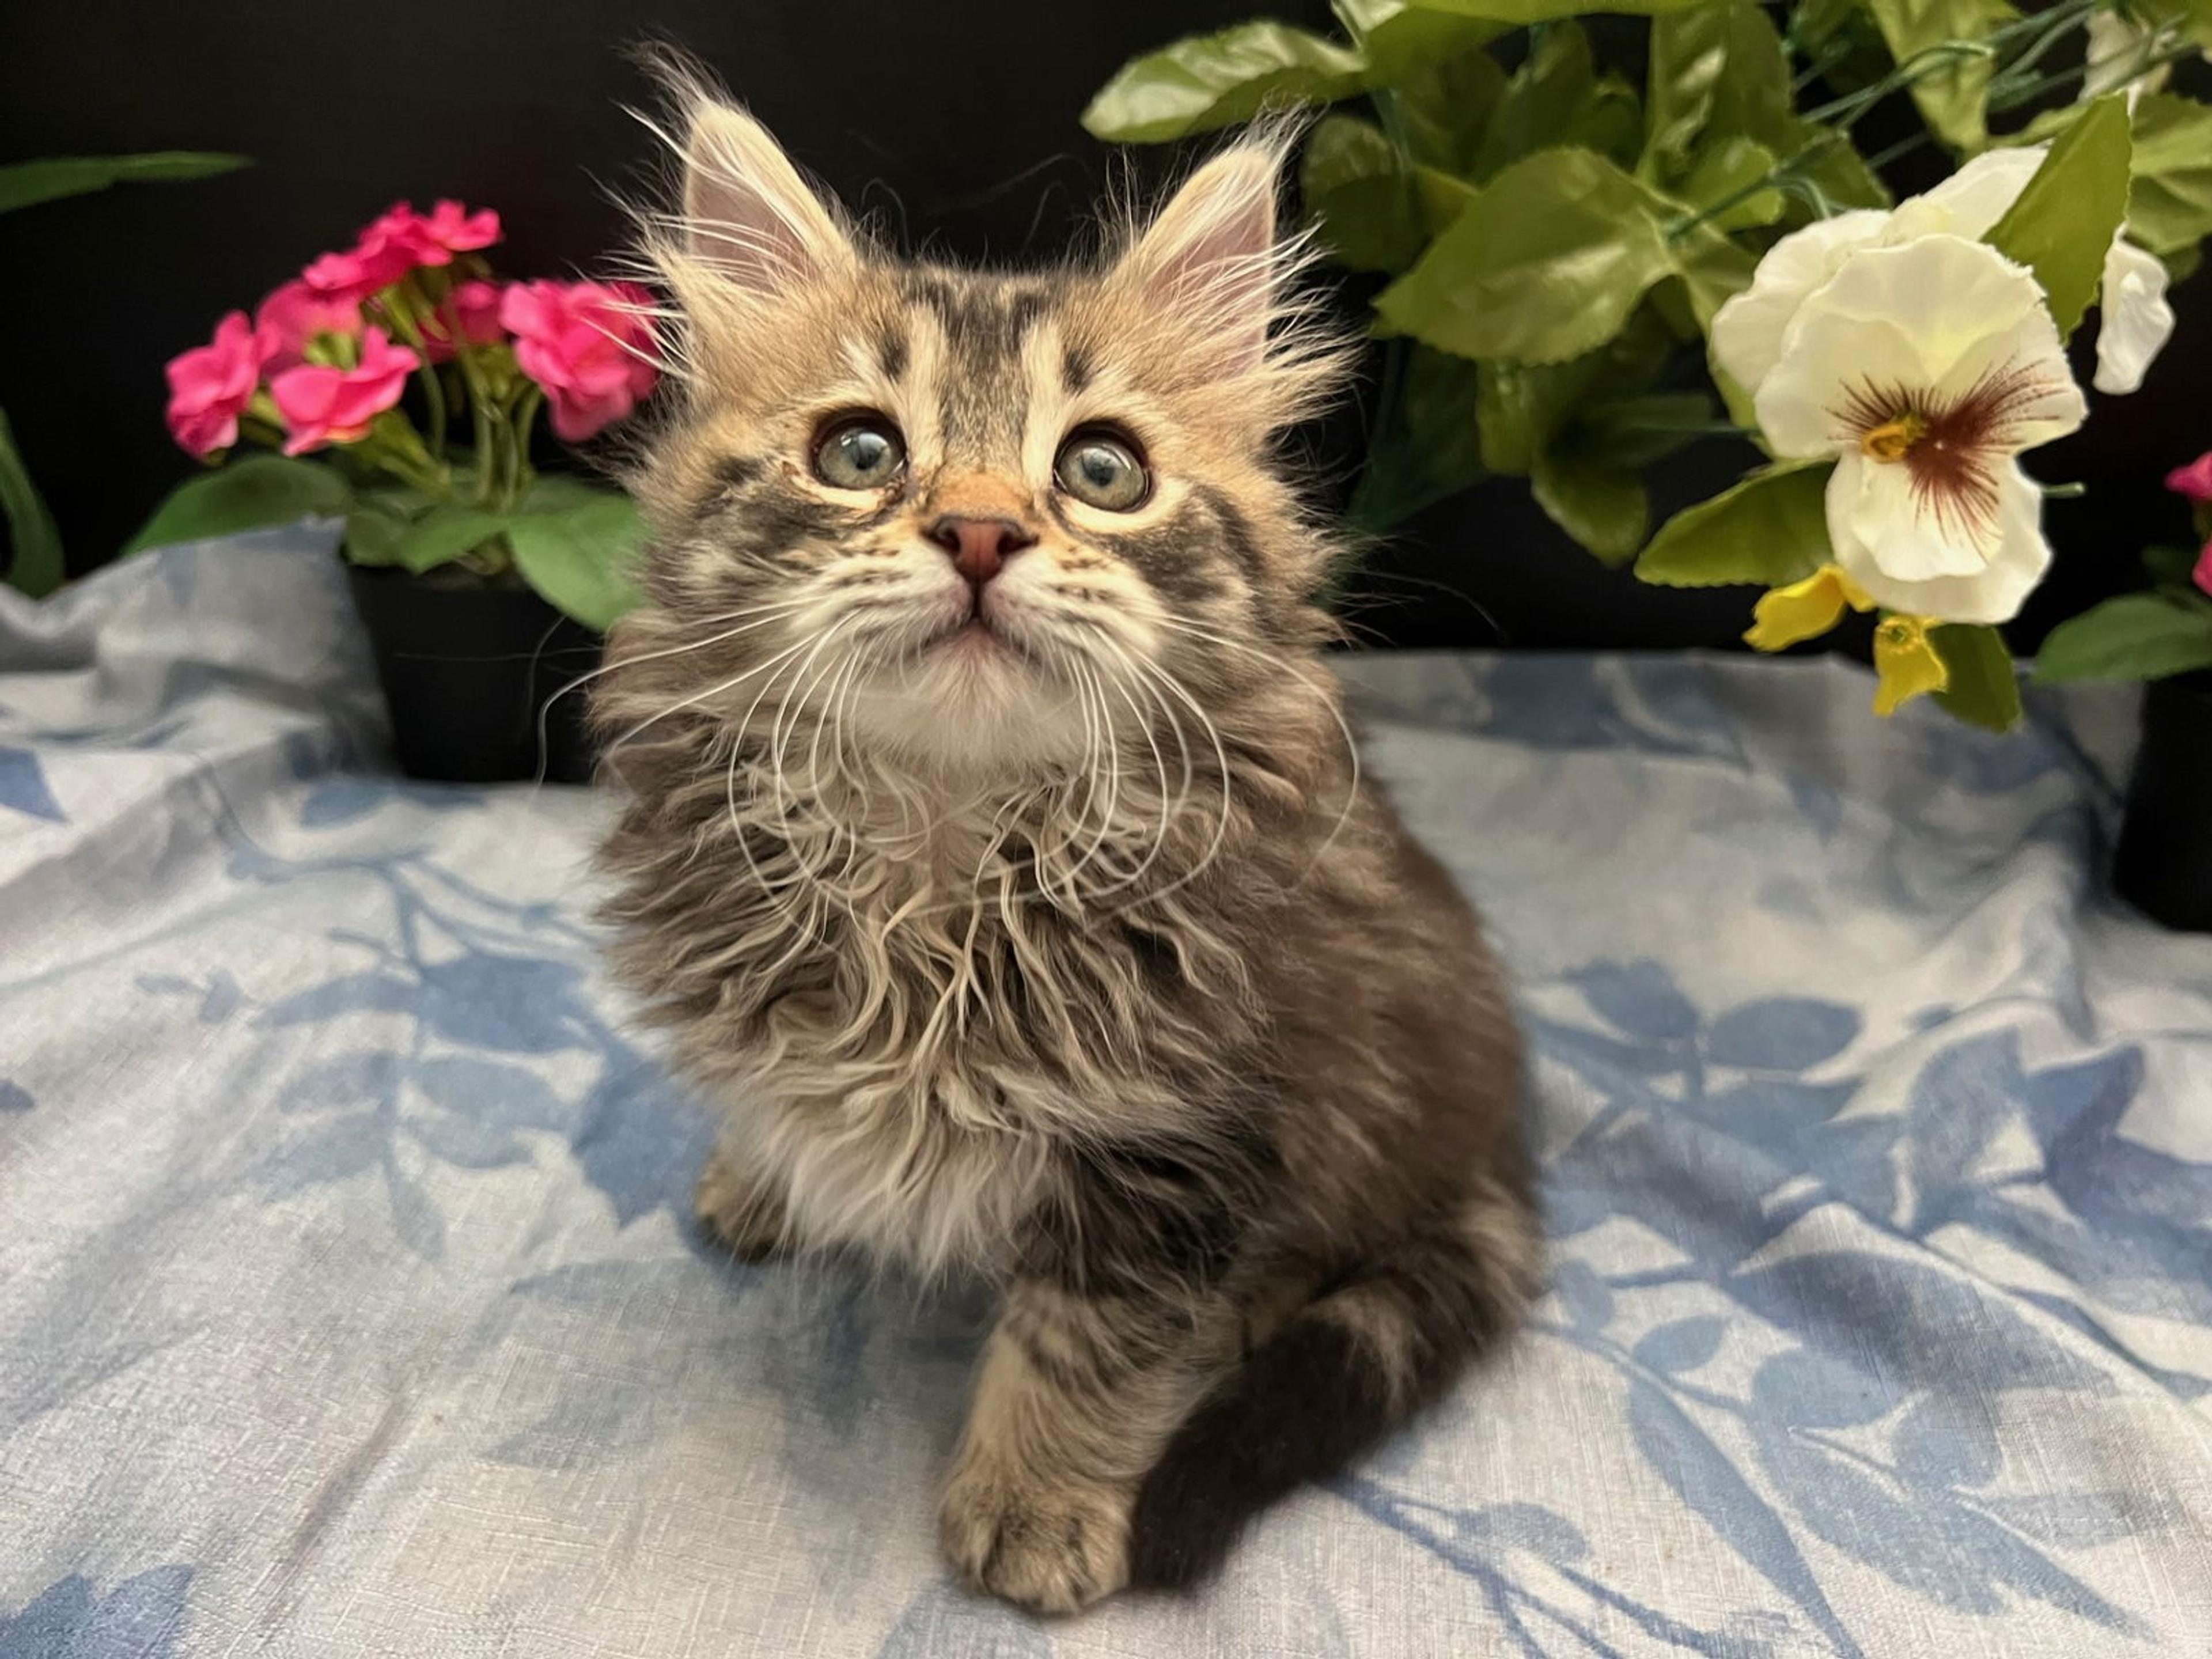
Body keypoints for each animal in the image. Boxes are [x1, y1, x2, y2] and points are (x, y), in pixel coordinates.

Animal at [592, 77, 1540, 1614]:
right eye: (859, 452)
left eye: (1102, 469)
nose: (981, 530)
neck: (940, 858)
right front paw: (769, 1165)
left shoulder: (1187, 1138)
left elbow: (1087, 1341)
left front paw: (1035, 1507)